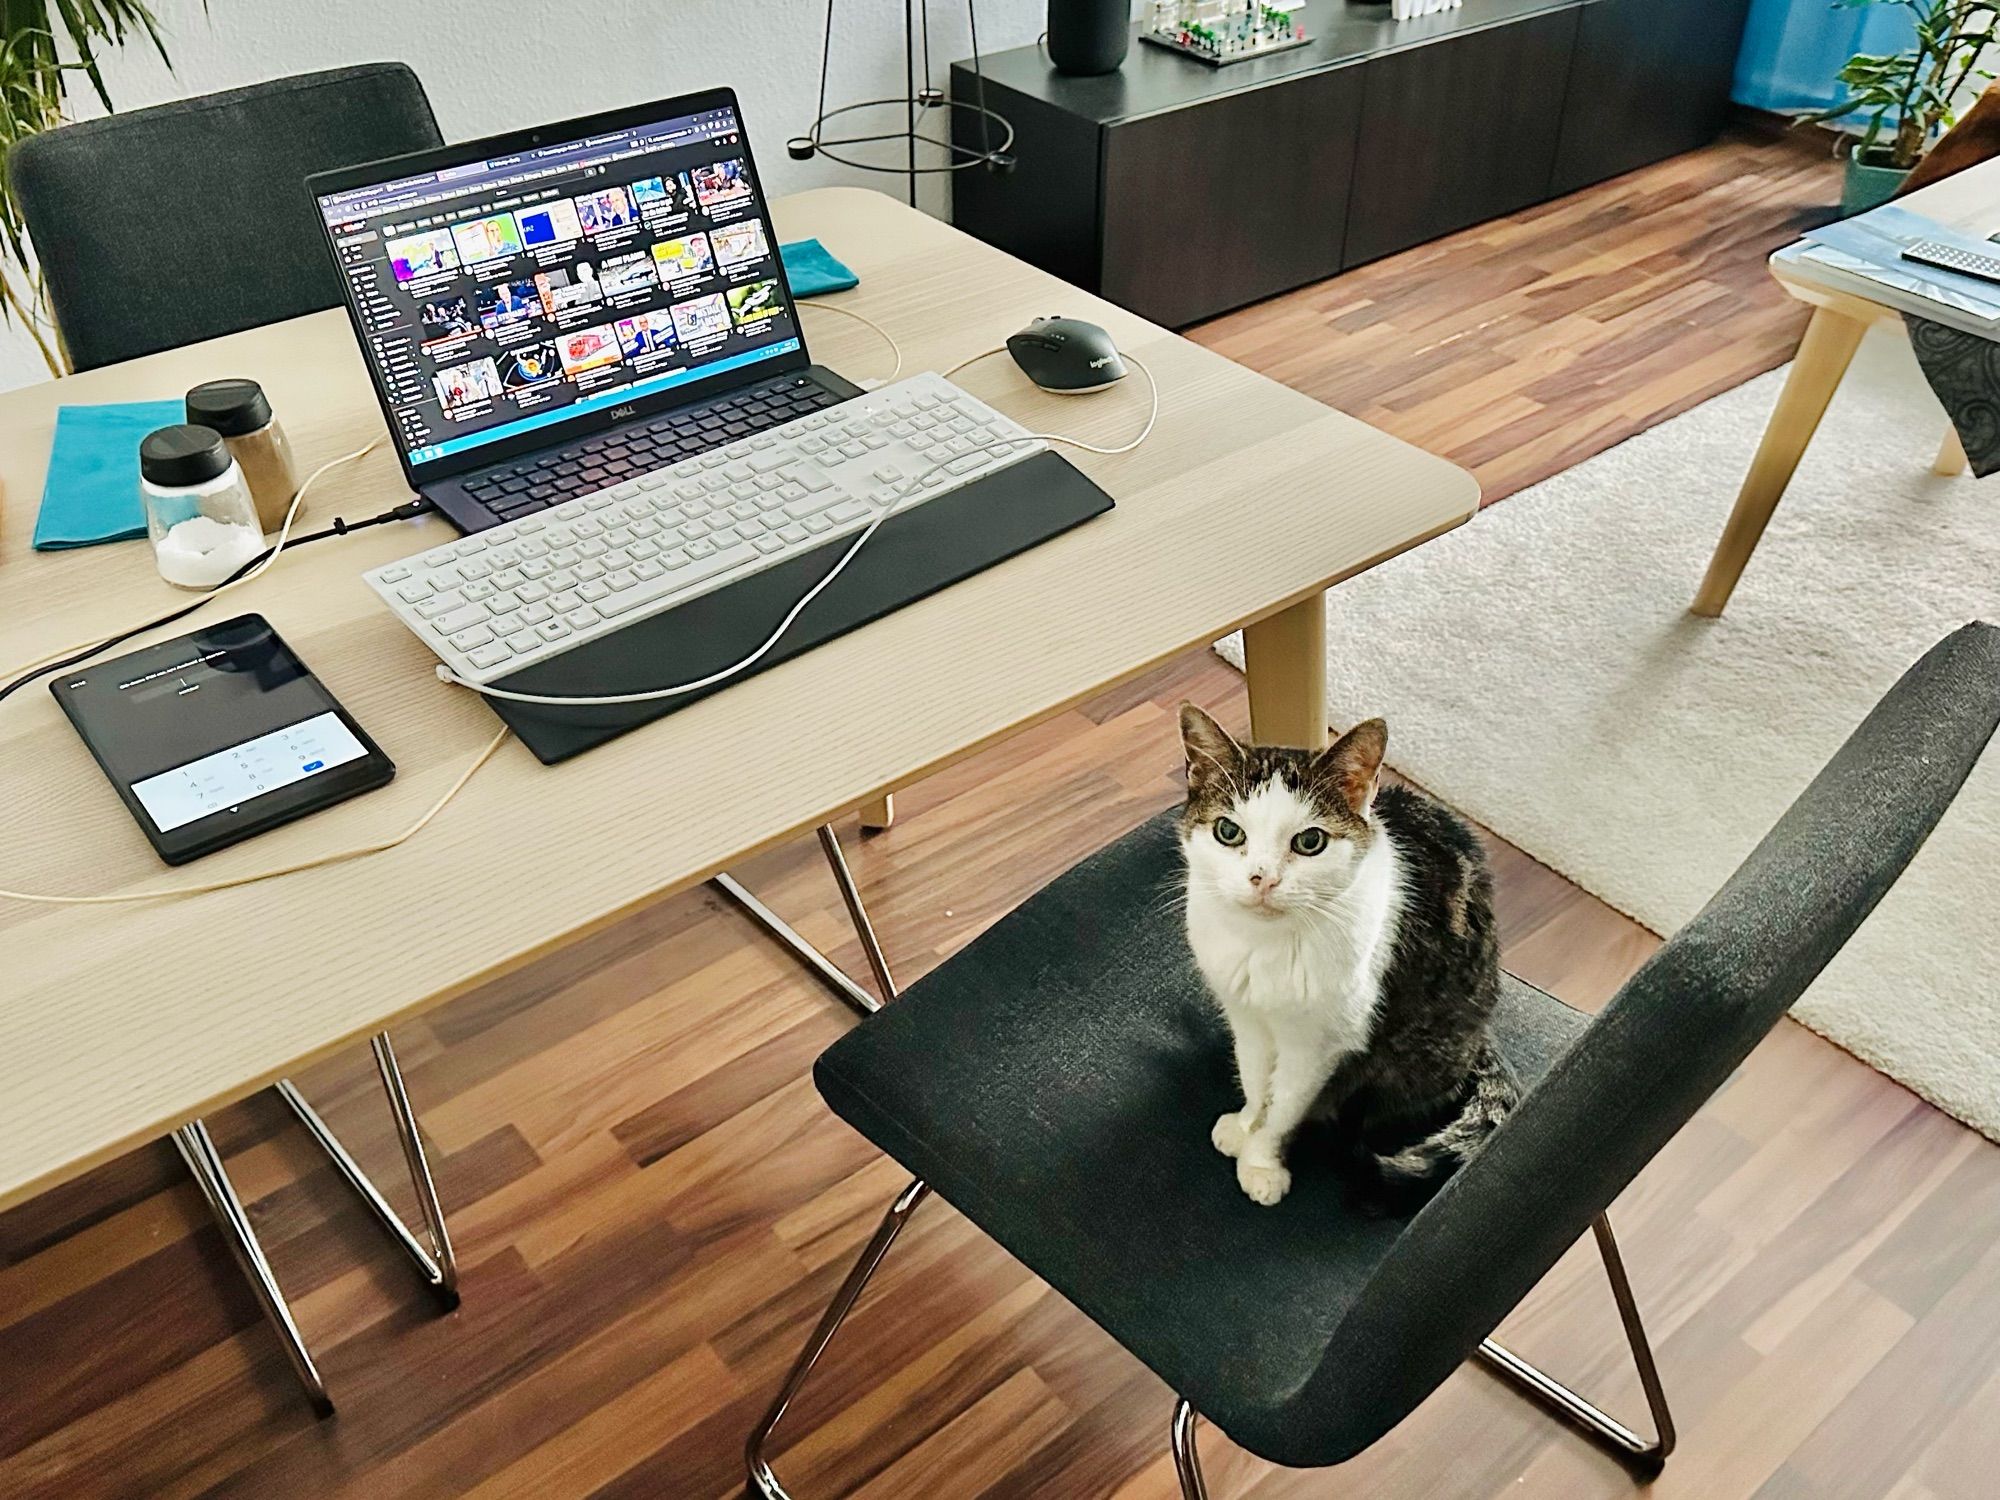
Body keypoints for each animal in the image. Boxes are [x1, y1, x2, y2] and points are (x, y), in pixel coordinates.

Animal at [1168, 704, 1512, 1208]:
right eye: (1228, 832)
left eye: (1310, 841)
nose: (1262, 878)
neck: (1266, 946)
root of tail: (1481, 1039)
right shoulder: (1245, 1016)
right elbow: (1254, 1077)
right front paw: (1246, 1125)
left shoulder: (1317, 1046)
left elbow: (1286, 1106)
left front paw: (1262, 1161)